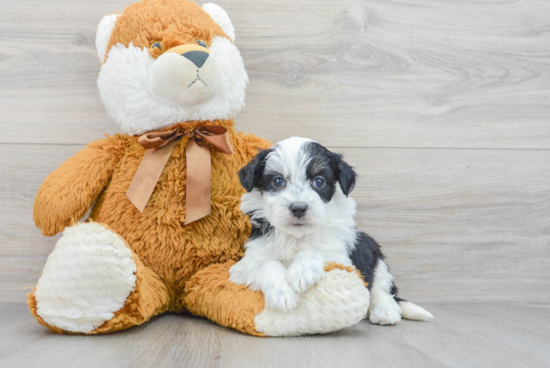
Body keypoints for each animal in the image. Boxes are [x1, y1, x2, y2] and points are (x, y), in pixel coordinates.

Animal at [230, 137, 436, 324]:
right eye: (278, 181)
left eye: (319, 181)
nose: (299, 208)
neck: (298, 236)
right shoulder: (244, 264)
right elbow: (266, 265)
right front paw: (282, 293)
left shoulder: (342, 258)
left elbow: (315, 251)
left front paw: (301, 271)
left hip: (373, 254)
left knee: (383, 289)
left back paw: (385, 311)